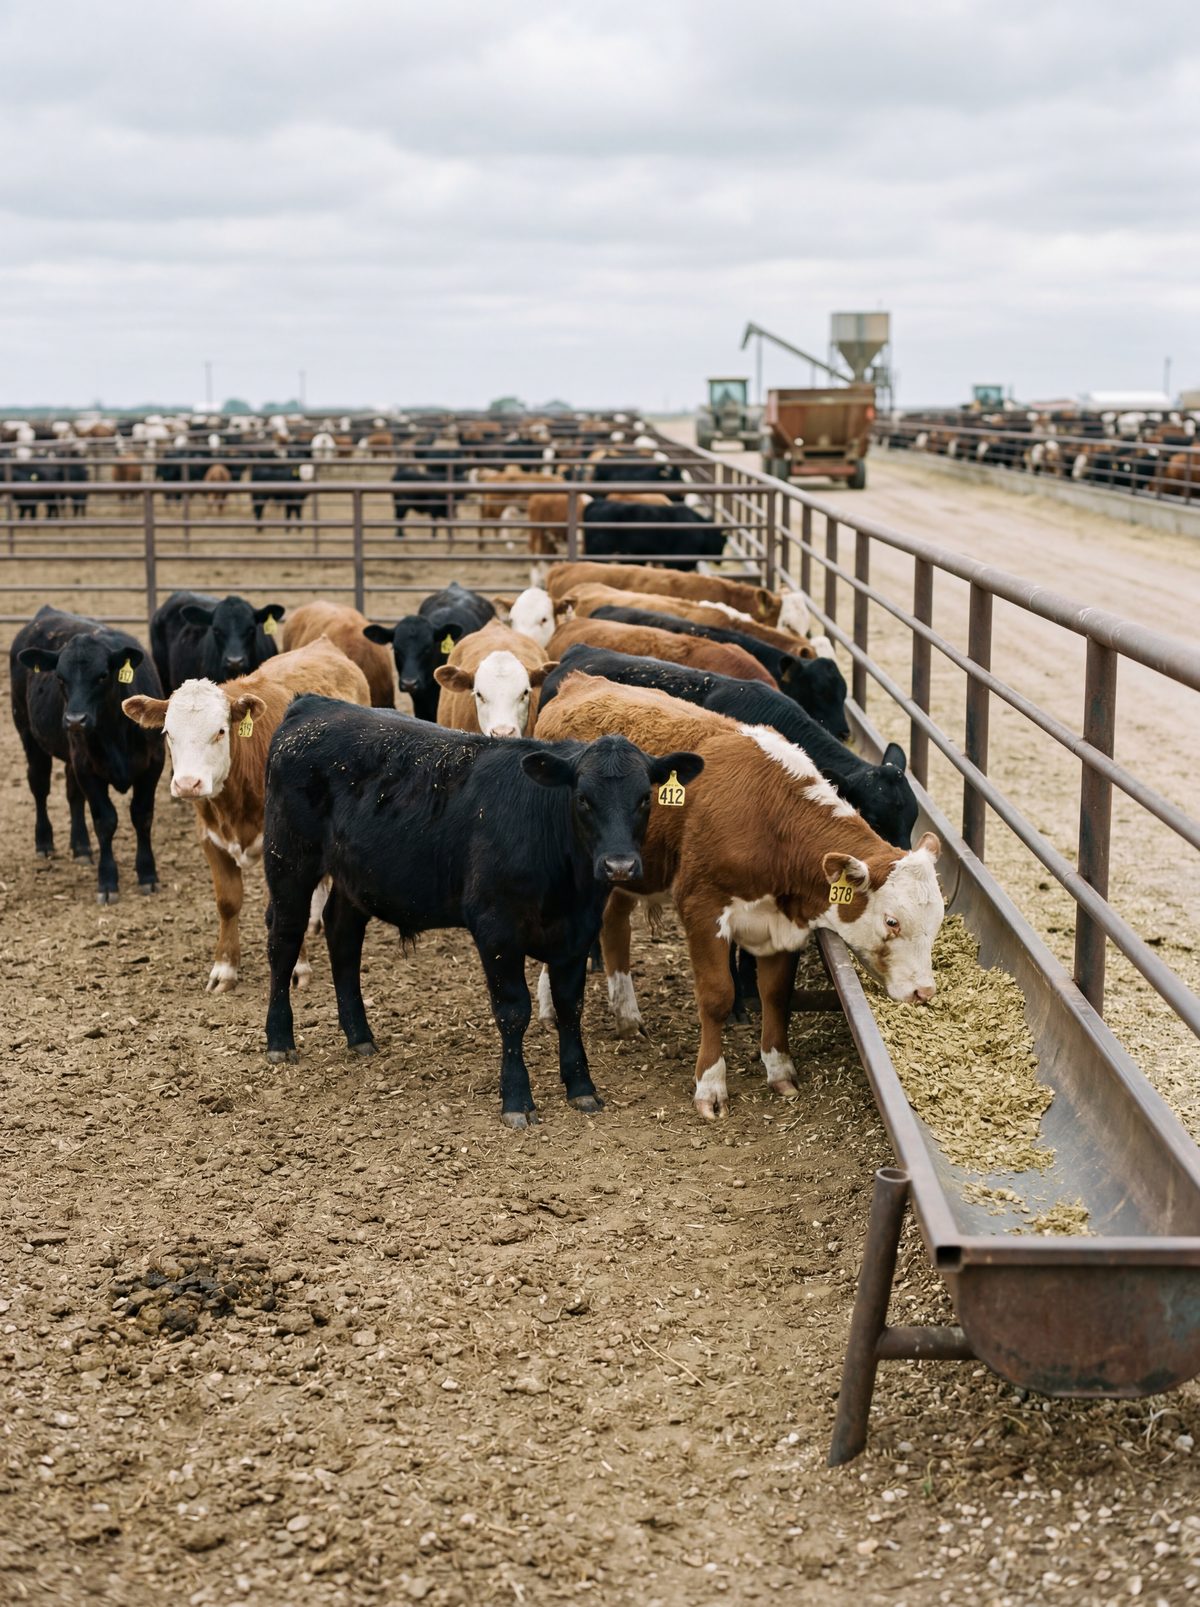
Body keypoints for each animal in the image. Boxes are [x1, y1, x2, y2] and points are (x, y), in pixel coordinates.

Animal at [11, 607, 165, 903]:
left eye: (103, 675)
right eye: (60, 677)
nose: (74, 720)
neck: (116, 731)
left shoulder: (153, 766)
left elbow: (142, 816)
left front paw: (148, 874)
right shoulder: (88, 769)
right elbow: (105, 821)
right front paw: (107, 881)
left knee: (73, 794)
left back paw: (81, 847)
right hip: (29, 734)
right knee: (39, 785)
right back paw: (44, 842)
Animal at [122, 638, 371, 993]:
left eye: (220, 731)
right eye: (168, 732)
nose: (187, 784)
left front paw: (297, 968)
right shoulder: (210, 838)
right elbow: (228, 902)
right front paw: (224, 969)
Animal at [259, 697, 703, 1126]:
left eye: (644, 798)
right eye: (583, 799)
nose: (619, 866)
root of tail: (312, 706)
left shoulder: (577, 933)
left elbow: (569, 1008)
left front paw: (581, 1087)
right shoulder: (496, 929)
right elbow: (513, 1011)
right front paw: (517, 1099)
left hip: (354, 875)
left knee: (343, 937)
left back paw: (359, 1035)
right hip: (289, 860)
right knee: (284, 939)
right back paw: (280, 1040)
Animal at [536, 675, 943, 1118]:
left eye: (937, 923)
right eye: (892, 921)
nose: (924, 991)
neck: (770, 818)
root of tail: (580, 682)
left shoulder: (783, 924)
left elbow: (776, 995)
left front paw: (780, 1069)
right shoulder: (702, 909)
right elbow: (717, 995)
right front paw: (710, 1085)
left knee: (614, 924)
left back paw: (626, 1014)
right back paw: (550, 1004)